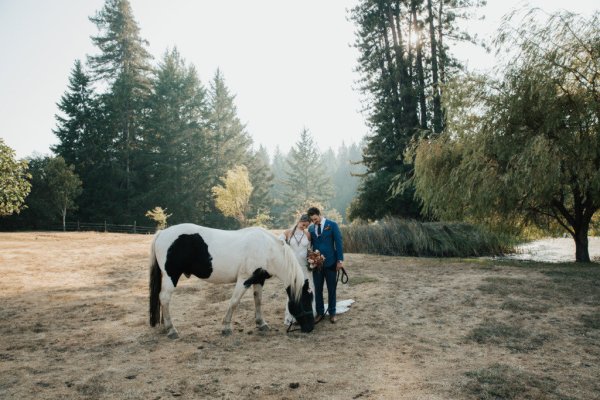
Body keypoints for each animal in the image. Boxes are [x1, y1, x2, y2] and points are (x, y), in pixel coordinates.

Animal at [149, 222, 314, 338]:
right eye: (305, 301)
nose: (310, 327)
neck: (267, 250)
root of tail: (162, 233)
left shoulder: (259, 279)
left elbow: (258, 300)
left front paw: (261, 324)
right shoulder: (244, 279)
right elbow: (234, 302)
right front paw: (226, 327)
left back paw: (165, 326)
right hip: (171, 276)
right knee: (164, 298)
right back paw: (171, 330)